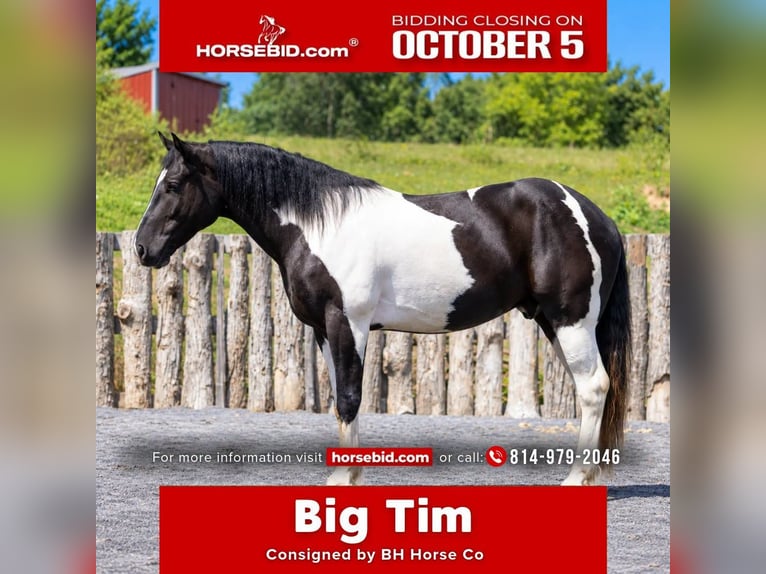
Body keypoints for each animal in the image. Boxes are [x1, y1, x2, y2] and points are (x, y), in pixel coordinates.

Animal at [135, 133, 631, 486]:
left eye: (174, 185)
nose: (142, 249)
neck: (319, 224)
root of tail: (596, 215)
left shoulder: (347, 323)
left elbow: (351, 399)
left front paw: (344, 480)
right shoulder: (324, 329)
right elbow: (340, 399)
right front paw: (347, 473)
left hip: (570, 320)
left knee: (593, 387)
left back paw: (576, 479)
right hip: (554, 321)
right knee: (590, 387)